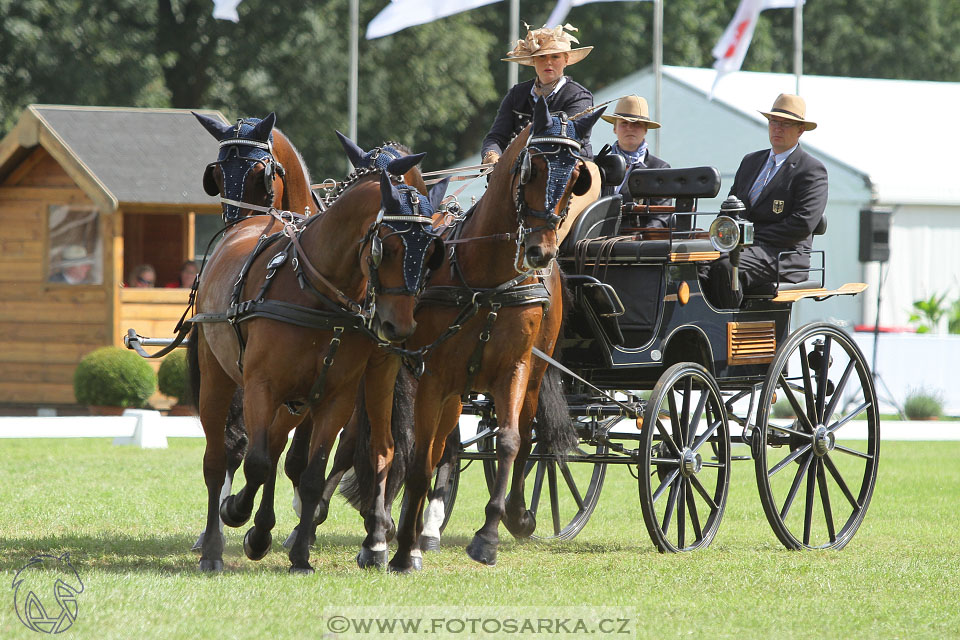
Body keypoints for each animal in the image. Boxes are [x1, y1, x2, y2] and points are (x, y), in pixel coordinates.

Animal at [188, 132, 446, 572]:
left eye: (431, 249)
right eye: (388, 246)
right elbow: (259, 461)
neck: (317, 290)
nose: (399, 327)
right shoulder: (262, 387)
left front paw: (300, 555)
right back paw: (214, 546)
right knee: (218, 460)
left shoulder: (335, 397)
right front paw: (238, 514)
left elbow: (311, 471)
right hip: (218, 376)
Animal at [384, 100, 604, 568]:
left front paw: (490, 534)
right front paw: (407, 543)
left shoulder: (515, 369)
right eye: (532, 169)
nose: (541, 251)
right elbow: (422, 454)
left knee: (527, 437)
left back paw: (517, 514)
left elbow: (510, 441)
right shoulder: (433, 376)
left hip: (533, 375)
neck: (488, 276)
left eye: (578, 176)